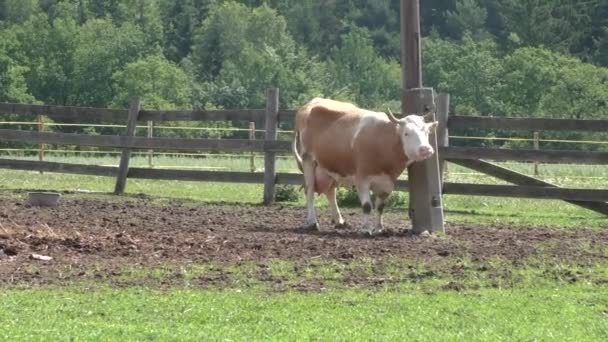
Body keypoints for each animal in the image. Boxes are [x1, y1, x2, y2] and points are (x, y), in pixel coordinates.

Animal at [290, 97, 436, 234]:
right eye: (406, 133)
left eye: (427, 132)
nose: (426, 149)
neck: (382, 141)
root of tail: (309, 105)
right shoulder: (362, 179)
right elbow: (367, 206)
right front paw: (366, 229)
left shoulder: (387, 182)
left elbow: (380, 207)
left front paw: (379, 228)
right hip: (308, 160)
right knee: (309, 191)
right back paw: (312, 222)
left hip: (330, 166)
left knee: (331, 192)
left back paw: (339, 220)